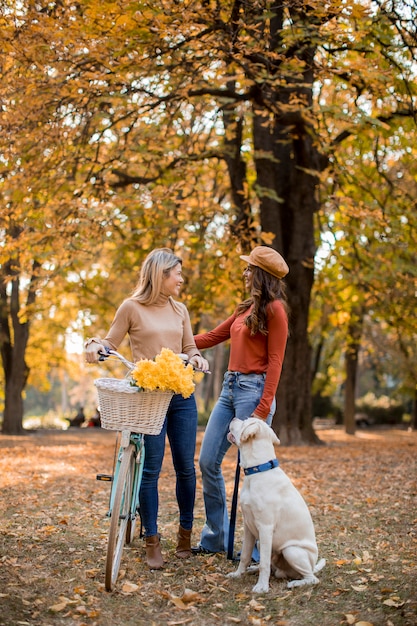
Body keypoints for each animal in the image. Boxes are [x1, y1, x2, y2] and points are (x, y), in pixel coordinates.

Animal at [226, 416, 324, 592]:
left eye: (245, 421)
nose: (234, 417)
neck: (258, 470)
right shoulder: (248, 526)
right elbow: (245, 555)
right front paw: (238, 574)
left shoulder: (265, 527)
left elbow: (264, 563)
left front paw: (262, 587)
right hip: (263, 543)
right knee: (272, 566)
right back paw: (253, 569)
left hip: (291, 551)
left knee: (312, 578)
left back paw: (295, 583)